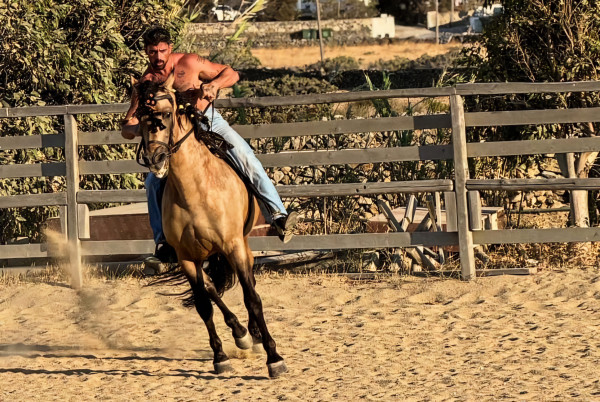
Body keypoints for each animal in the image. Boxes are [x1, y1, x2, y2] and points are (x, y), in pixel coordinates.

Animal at [134, 74, 288, 376]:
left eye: (166, 114)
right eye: (140, 117)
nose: (155, 159)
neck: (195, 191)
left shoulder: (233, 245)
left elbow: (252, 298)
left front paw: (274, 358)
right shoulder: (186, 257)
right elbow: (204, 305)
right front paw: (220, 357)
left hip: (241, 245)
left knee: (249, 284)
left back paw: (253, 334)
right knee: (212, 289)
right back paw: (241, 334)